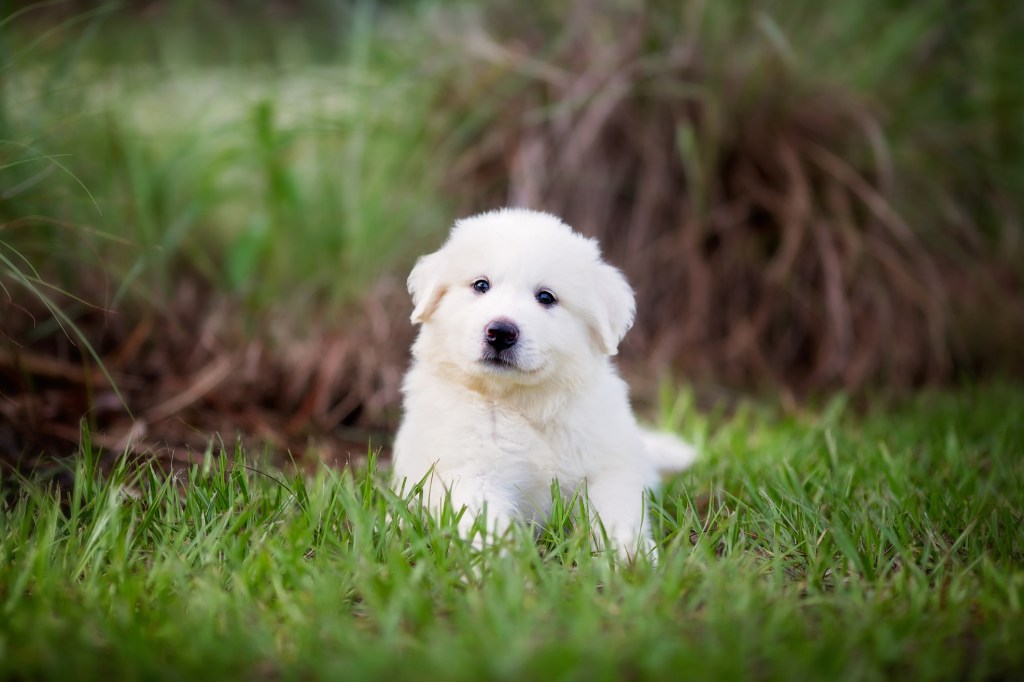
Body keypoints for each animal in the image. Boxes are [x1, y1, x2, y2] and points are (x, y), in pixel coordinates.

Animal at [391, 206, 696, 557]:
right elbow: (486, 523)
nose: (501, 332)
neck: (522, 403)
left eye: (546, 297)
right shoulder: (470, 472)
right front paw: (500, 565)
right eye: (481, 285)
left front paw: (629, 559)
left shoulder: (607, 468)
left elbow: (616, 517)